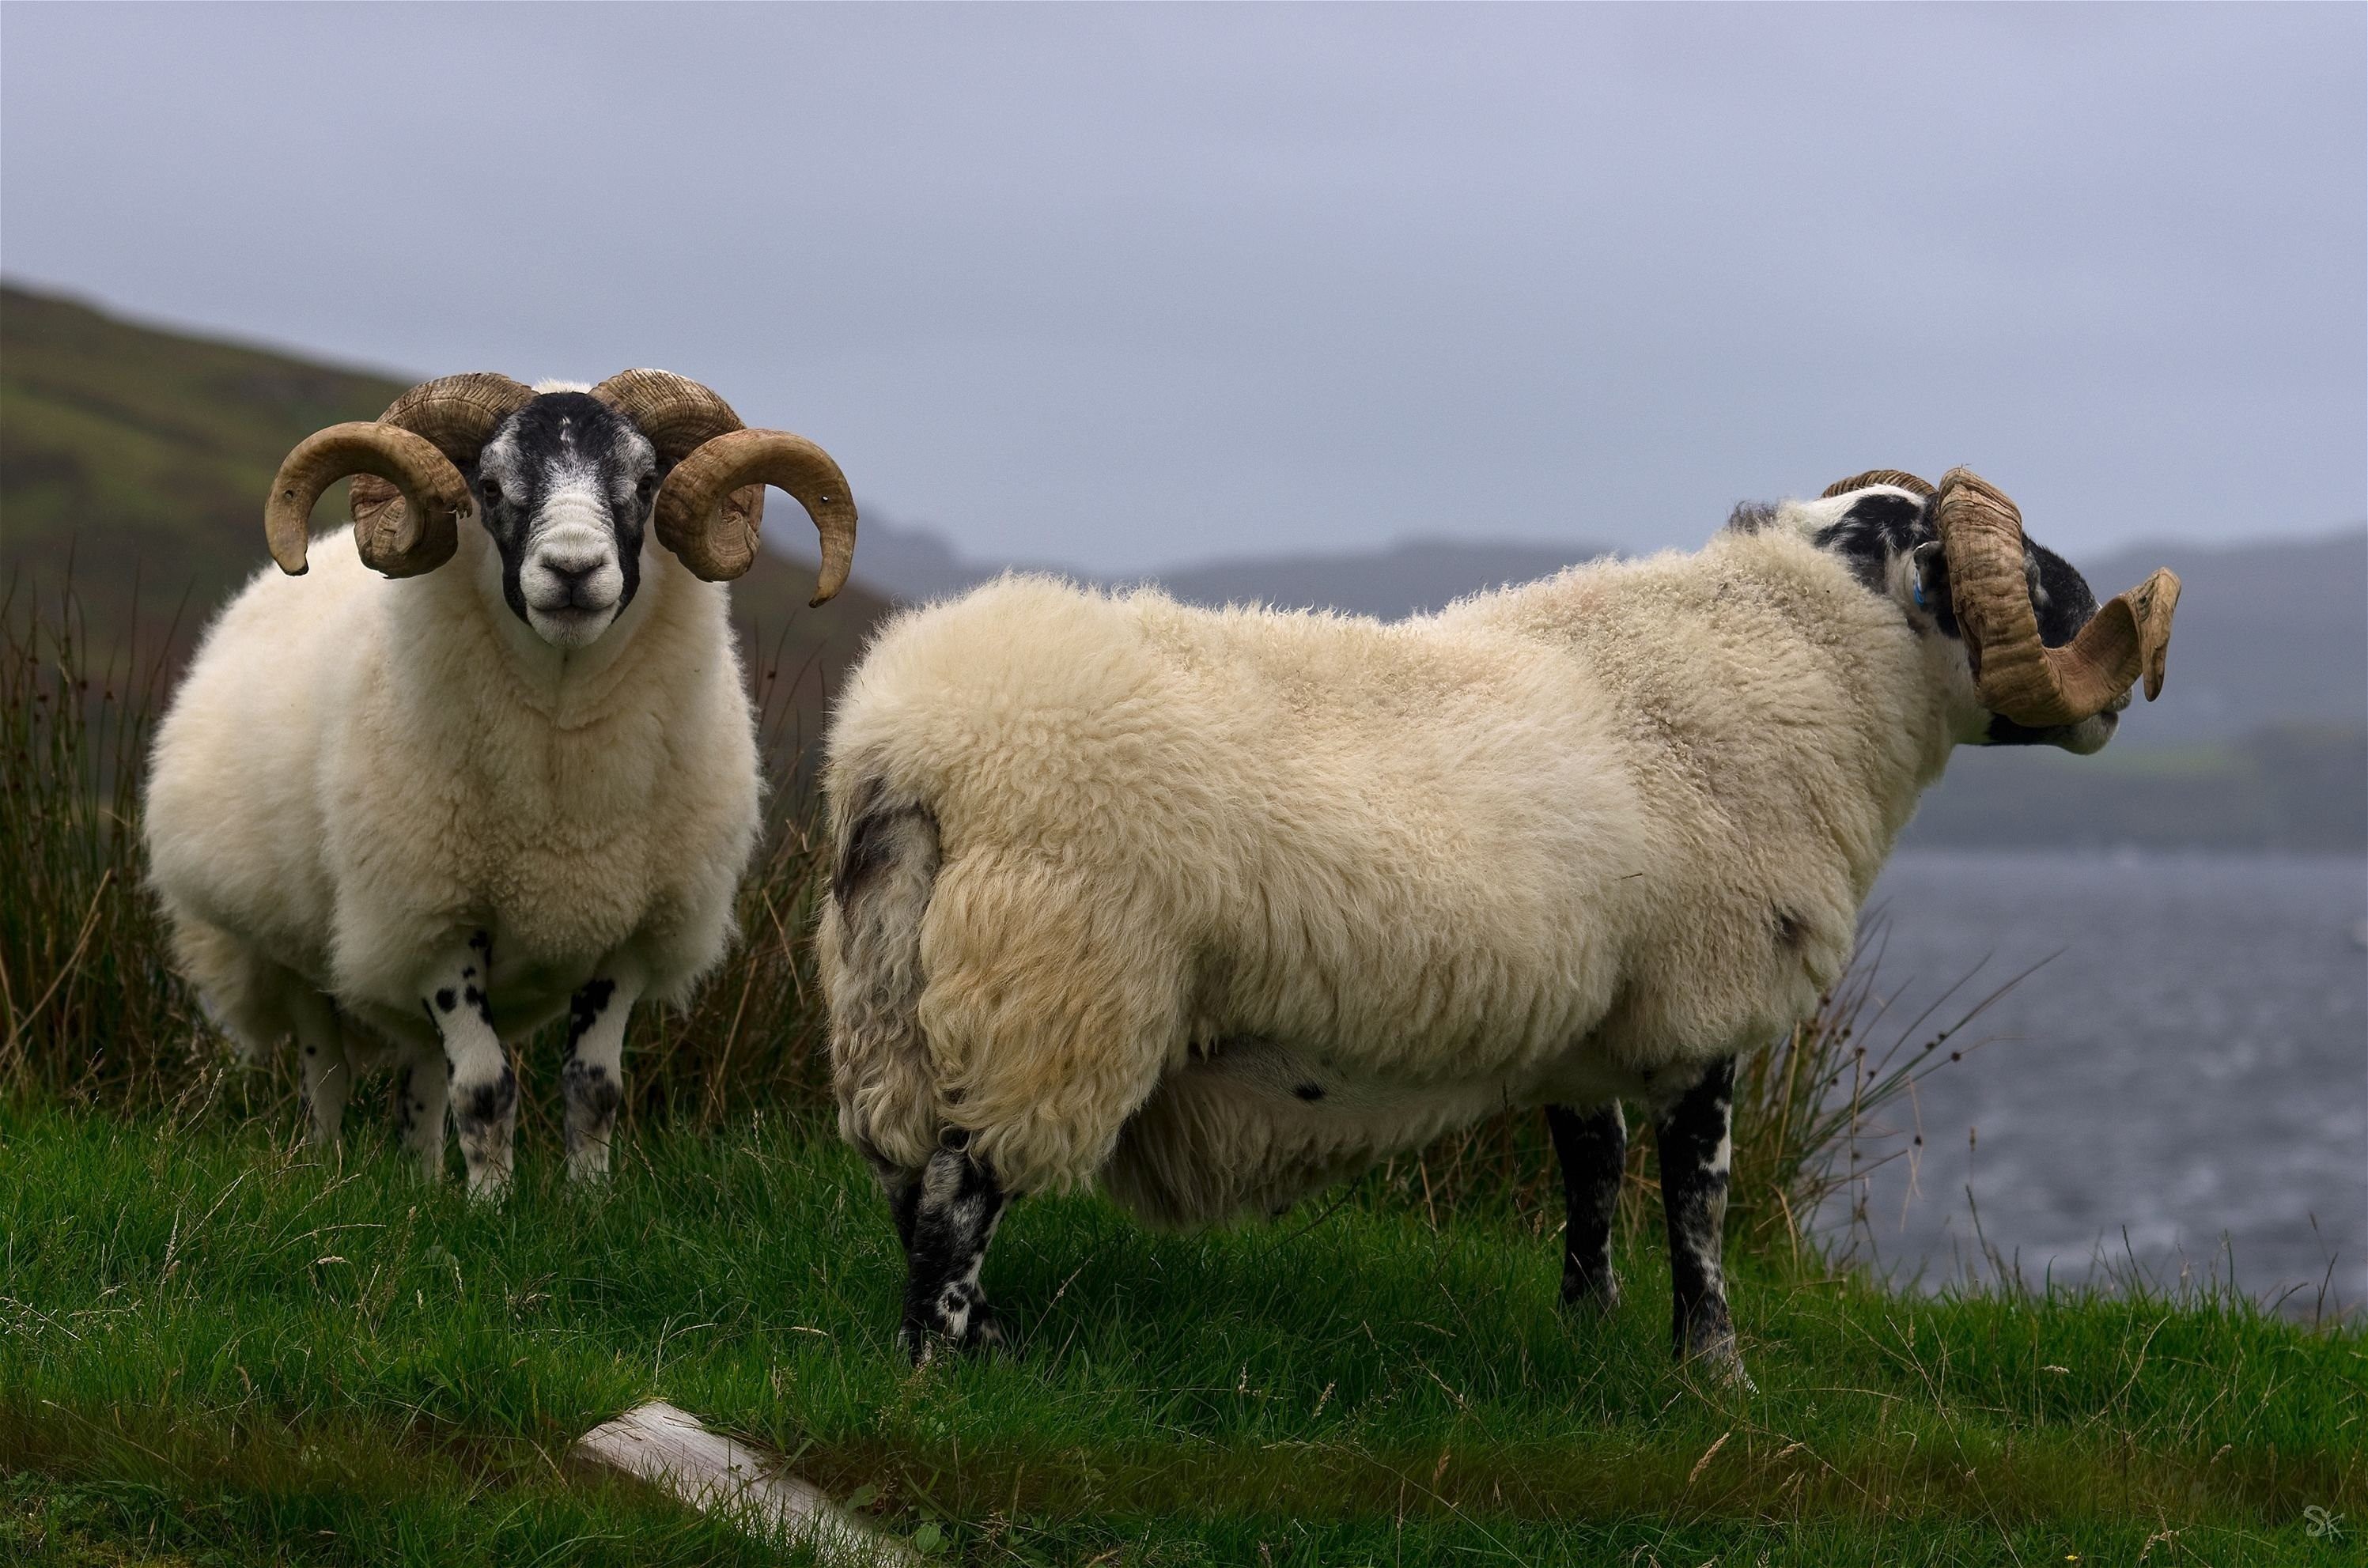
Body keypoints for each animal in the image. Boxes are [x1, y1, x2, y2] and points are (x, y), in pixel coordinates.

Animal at [146, 372, 861, 1203]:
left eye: (644, 483)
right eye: (488, 486)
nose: (574, 570)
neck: (558, 784)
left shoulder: (627, 931)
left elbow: (593, 1086)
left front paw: (589, 1202)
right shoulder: (439, 921)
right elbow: (485, 1086)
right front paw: (490, 1206)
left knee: (422, 1074)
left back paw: (421, 1182)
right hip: (292, 947)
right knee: (327, 1072)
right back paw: (325, 1167)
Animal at [819, 464, 2178, 1373]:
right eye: (2012, 562)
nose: (2115, 674)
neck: (1798, 662)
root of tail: (907, 743)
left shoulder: (1587, 1020)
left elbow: (1593, 1170)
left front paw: (1589, 1323)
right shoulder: (1710, 998)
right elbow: (1700, 1200)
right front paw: (1714, 1372)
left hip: (894, 991)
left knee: (906, 1168)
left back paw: (981, 1336)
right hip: (1059, 986)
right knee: (959, 1187)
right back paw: (940, 1363)